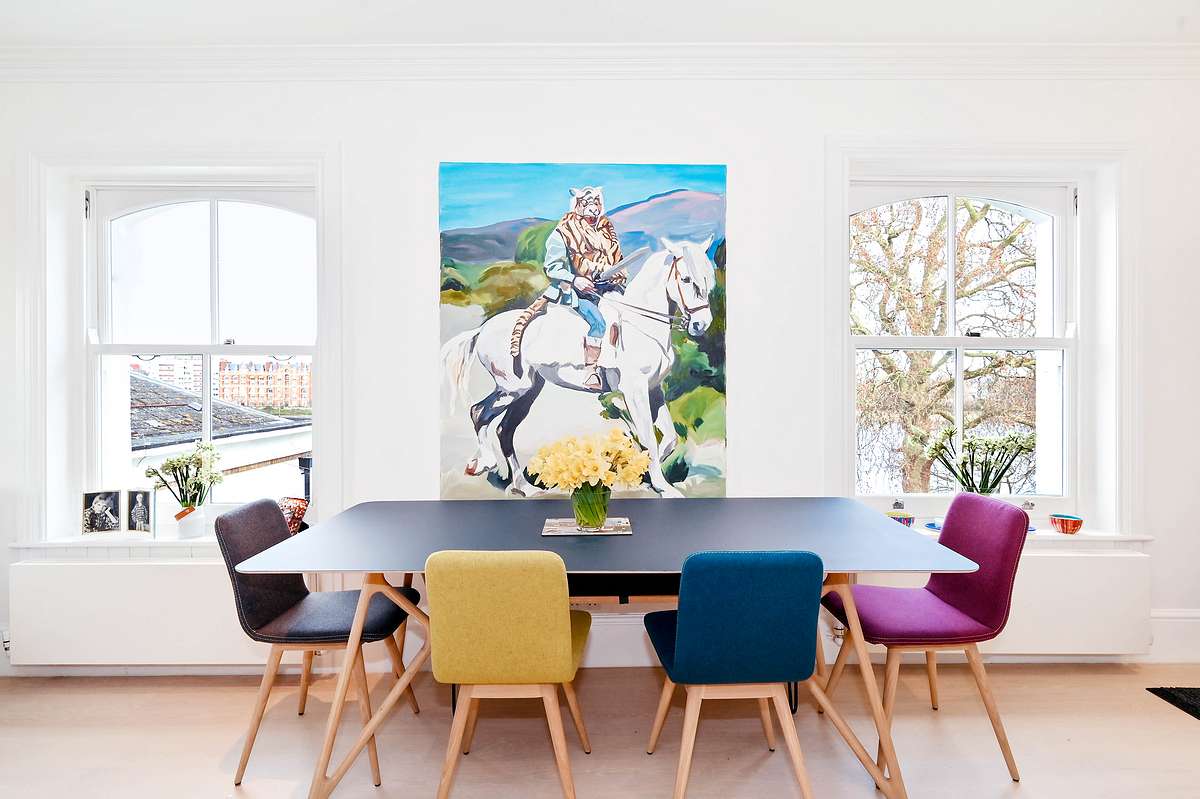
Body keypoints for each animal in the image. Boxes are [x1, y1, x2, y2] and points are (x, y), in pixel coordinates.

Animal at [442, 236, 716, 497]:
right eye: (686, 279)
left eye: (709, 279)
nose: (701, 325)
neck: (639, 325)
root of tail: (482, 329)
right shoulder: (635, 391)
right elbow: (649, 437)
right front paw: (662, 486)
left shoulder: (653, 389)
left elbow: (668, 439)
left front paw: (643, 475)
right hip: (512, 388)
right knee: (479, 412)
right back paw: (482, 463)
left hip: (528, 391)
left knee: (504, 430)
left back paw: (523, 487)